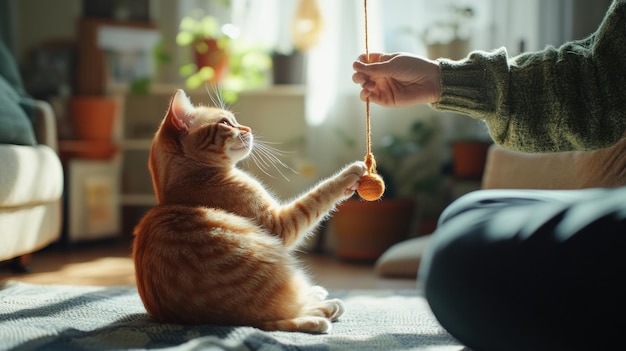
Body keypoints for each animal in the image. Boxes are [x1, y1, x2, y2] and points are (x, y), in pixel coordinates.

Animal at [132, 89, 366, 334]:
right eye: (226, 123)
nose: (248, 129)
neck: (189, 180)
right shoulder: (279, 225)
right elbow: (318, 196)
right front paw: (350, 174)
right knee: (287, 313)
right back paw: (322, 311)